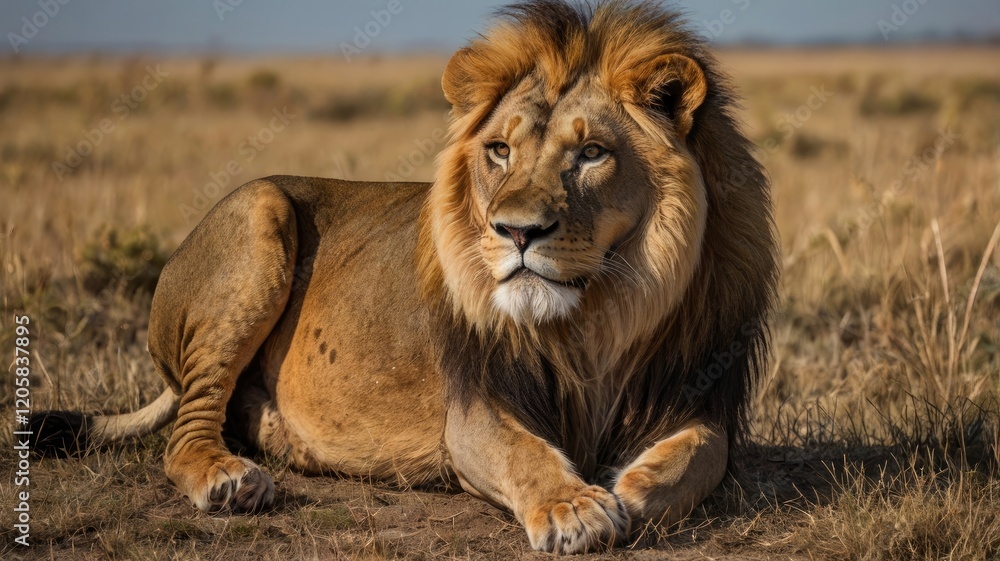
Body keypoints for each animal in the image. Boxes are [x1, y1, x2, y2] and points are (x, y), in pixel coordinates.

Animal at [31, 0, 777, 554]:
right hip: (260, 212)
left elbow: (697, 456)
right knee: (186, 429)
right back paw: (228, 477)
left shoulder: (697, 395)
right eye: (499, 150)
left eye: (592, 153)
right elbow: (524, 454)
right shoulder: (474, 409)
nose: (516, 232)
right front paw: (575, 507)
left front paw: (628, 488)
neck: (596, 317)